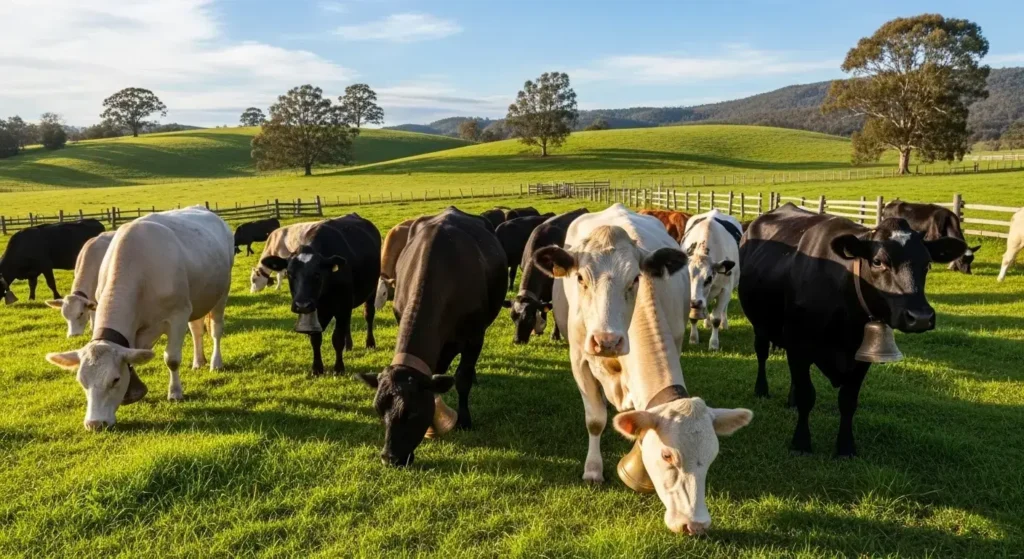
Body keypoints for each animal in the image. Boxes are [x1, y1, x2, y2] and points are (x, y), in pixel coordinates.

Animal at [44, 206, 233, 431]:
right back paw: (198, 361)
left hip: (221, 294)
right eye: (82, 381)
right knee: (196, 330)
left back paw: (215, 363)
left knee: (216, 330)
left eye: (115, 380)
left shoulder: (177, 316)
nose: (95, 424)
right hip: (198, 301)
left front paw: (175, 392)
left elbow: (172, 359)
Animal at [261, 214, 381, 376]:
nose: (302, 304)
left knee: (368, 315)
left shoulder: (342, 305)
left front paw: (339, 368)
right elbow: (315, 338)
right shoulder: (318, 310)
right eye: (290, 274)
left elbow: (337, 338)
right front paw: (317, 368)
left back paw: (370, 343)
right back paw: (348, 345)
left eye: (317, 274)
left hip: (371, 291)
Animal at [357, 207, 506, 467]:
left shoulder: (475, 336)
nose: (390, 458)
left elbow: (462, 378)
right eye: (378, 410)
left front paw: (463, 420)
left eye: (413, 411)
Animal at [680, 209, 742, 351]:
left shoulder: (725, 290)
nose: (695, 302)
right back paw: (706, 322)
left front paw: (714, 343)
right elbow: (693, 317)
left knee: (724, 309)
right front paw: (693, 338)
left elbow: (716, 318)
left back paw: (724, 324)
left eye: (709, 278)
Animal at [739, 203, 966, 458]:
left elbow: (847, 401)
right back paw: (762, 389)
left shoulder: (861, 356)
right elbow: (808, 395)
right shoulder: (799, 345)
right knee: (761, 353)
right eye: (878, 261)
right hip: (760, 325)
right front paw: (801, 443)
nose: (921, 318)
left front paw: (846, 447)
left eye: (927, 264)